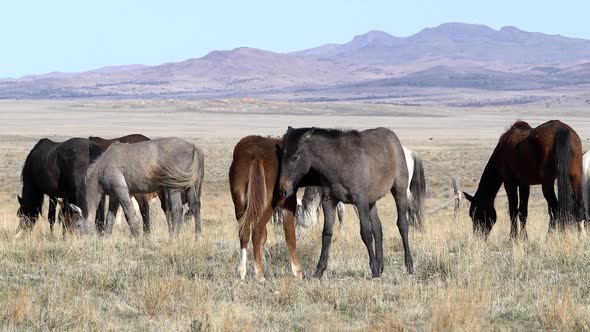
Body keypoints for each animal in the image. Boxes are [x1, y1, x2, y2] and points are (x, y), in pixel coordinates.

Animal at [70, 137, 205, 239]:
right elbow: (110, 218)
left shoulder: (122, 192)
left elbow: (129, 215)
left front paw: (136, 236)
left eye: (77, 225)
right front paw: (107, 238)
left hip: (173, 188)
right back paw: (198, 237)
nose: (79, 240)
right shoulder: (114, 196)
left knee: (177, 210)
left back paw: (173, 237)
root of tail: (193, 147)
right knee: (195, 207)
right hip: (189, 187)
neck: (103, 166)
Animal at [278, 126, 414, 278]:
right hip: (372, 202)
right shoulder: (328, 201)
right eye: (283, 156)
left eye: (295, 157)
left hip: (399, 191)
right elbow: (327, 234)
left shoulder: (360, 202)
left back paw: (409, 265)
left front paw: (373, 270)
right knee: (378, 229)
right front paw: (319, 270)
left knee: (402, 225)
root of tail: (392, 136)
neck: (339, 162)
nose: (283, 190)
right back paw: (381, 266)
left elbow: (366, 234)